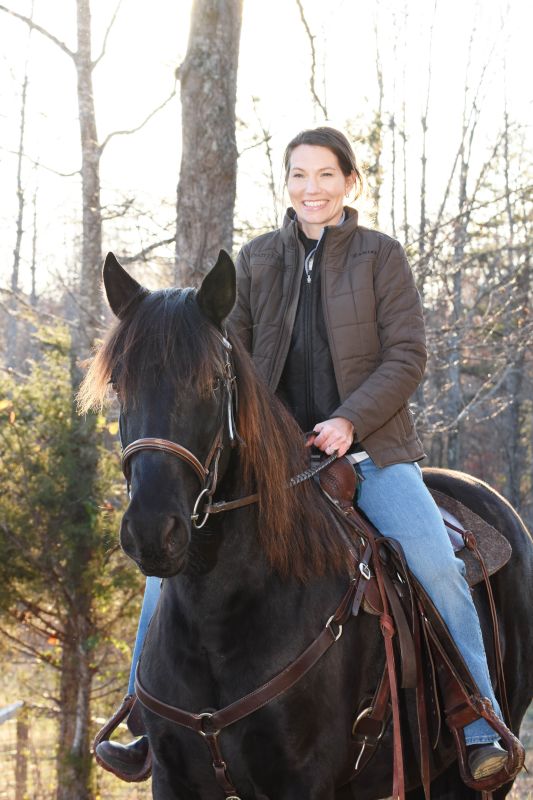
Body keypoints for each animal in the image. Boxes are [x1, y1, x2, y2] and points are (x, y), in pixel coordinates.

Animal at [80, 252, 532, 800]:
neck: (223, 614)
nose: (151, 531)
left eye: (213, 381)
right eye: (119, 383)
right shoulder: (174, 779)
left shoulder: (303, 781)